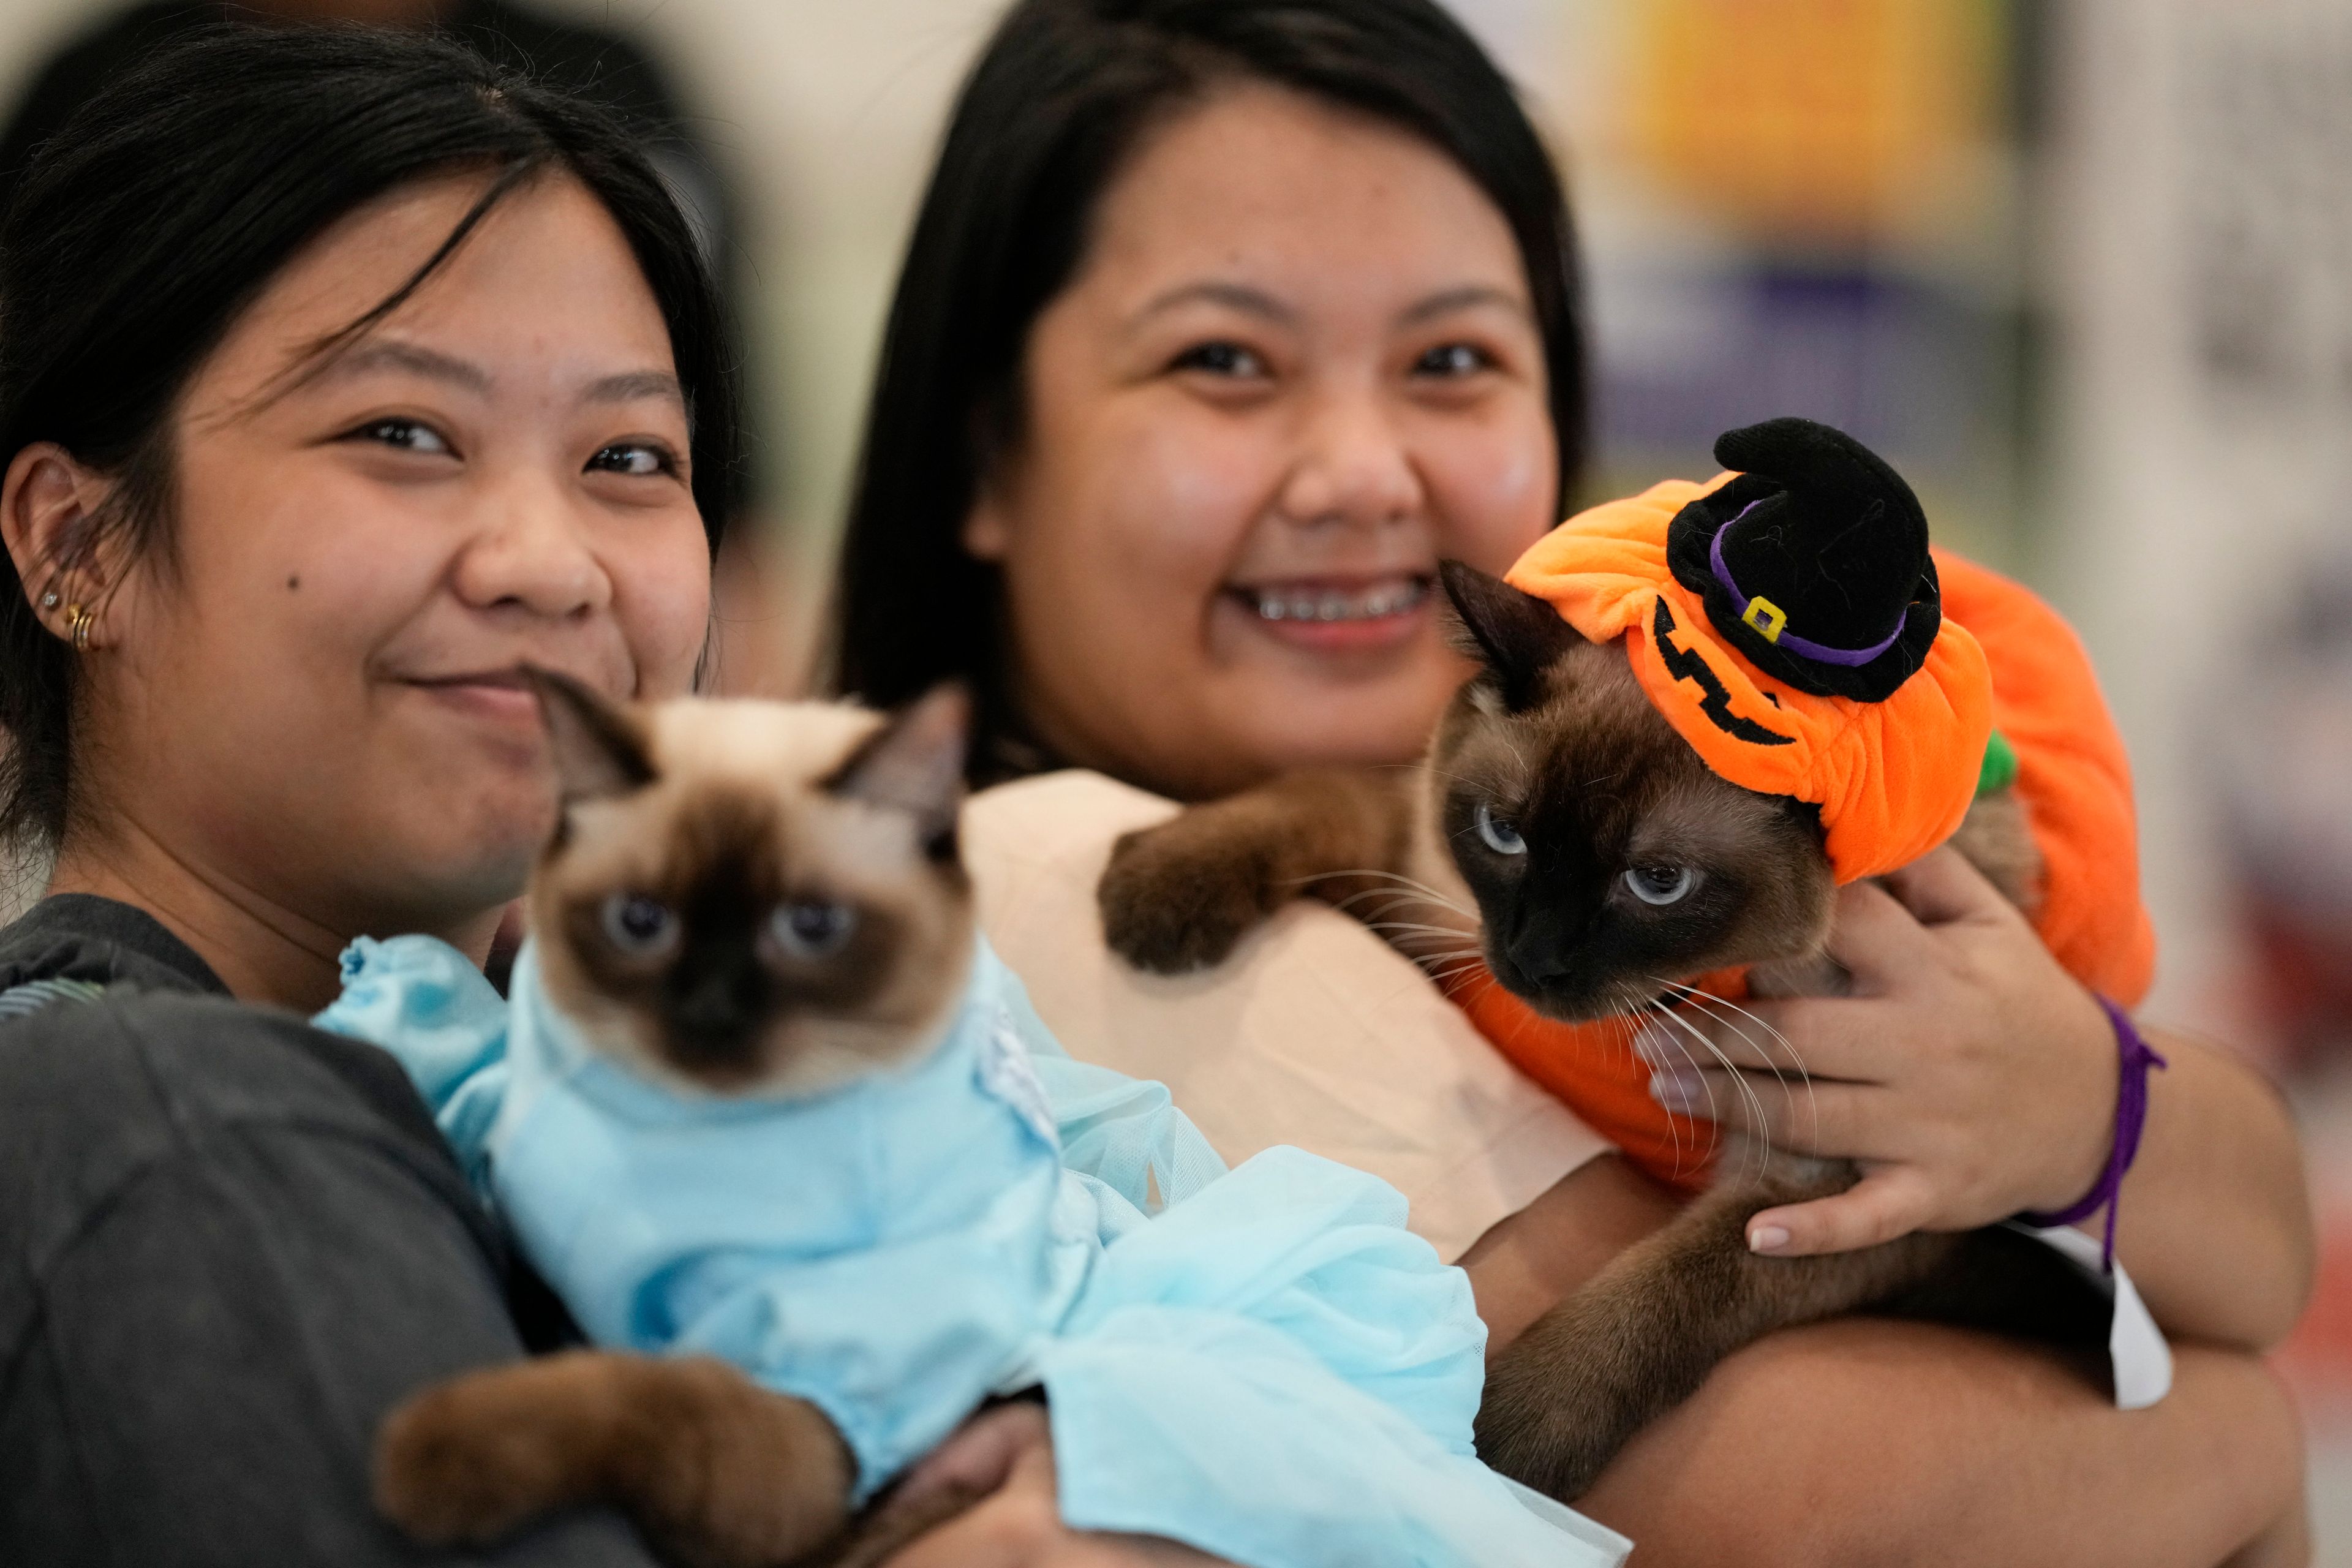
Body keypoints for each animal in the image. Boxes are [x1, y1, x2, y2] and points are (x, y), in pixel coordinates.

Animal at [322, 672, 1627, 1568]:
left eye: (811, 930)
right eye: (642, 923)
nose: (710, 1016)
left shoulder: (813, 1445)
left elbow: (628, 1394)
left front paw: (426, 1461)